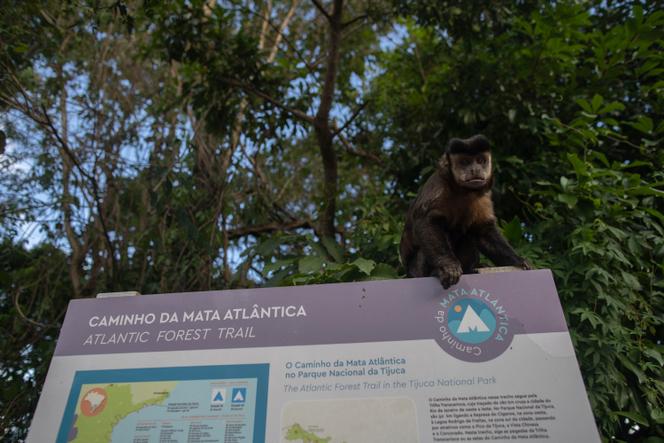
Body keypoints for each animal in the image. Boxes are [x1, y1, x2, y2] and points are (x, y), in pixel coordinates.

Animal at [396, 134, 532, 288]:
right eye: (465, 162)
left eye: (480, 160)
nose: (475, 169)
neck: (463, 191)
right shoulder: (439, 187)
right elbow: (427, 221)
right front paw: (448, 265)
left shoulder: (484, 196)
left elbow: (483, 231)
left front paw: (518, 260)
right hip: (416, 271)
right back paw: (436, 272)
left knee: (468, 234)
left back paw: (470, 269)